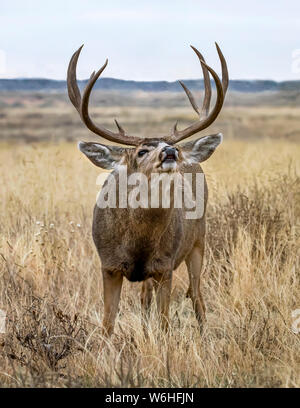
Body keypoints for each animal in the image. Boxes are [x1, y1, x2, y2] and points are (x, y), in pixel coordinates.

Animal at [67, 42, 227, 334]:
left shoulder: (165, 266)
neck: (138, 244)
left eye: (171, 147)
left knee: (197, 295)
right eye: (141, 151)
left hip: (199, 240)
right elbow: (108, 322)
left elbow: (164, 322)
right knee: (145, 298)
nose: (170, 151)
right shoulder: (108, 265)